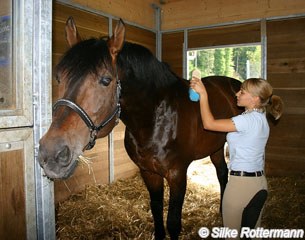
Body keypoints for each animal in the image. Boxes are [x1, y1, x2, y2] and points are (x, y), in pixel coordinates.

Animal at [38, 17, 241, 240]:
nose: (51, 153)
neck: (155, 120)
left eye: (106, 80)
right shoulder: (148, 173)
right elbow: (156, 212)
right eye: (59, 77)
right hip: (216, 147)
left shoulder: (177, 175)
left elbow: (173, 223)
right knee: (222, 174)